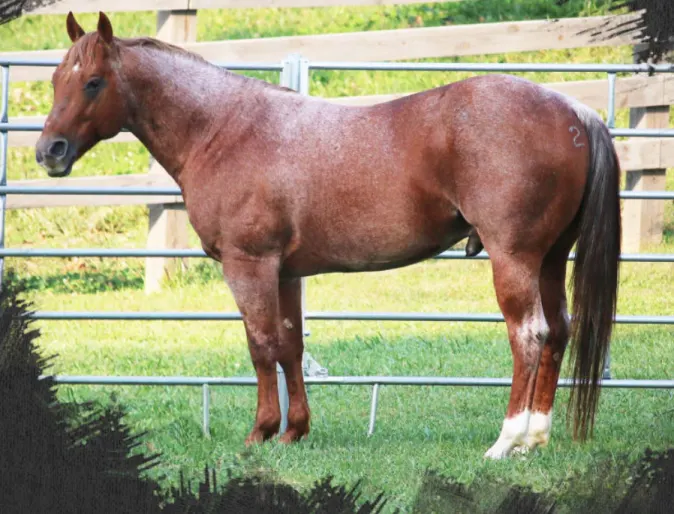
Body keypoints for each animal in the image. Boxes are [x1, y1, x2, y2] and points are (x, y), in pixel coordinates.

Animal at [38, 12, 620, 458]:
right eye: (55, 81)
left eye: (93, 82)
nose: (50, 152)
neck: (224, 130)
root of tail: (573, 110)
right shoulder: (285, 273)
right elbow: (290, 345)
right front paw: (294, 431)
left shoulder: (248, 265)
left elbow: (261, 346)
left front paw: (260, 433)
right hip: (549, 259)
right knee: (558, 331)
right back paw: (534, 440)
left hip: (513, 258)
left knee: (529, 335)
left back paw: (505, 442)